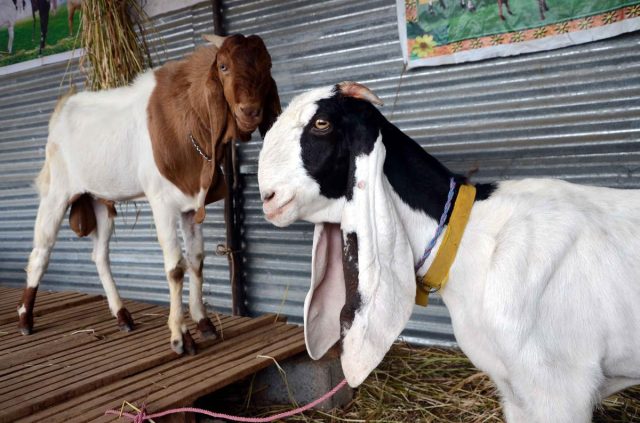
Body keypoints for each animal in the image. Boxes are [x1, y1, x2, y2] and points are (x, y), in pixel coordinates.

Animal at [18, 34, 280, 354]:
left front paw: (203, 323)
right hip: (56, 192)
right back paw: (25, 320)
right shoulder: (162, 204)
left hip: (100, 200)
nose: (250, 111)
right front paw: (180, 337)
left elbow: (196, 260)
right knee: (40, 252)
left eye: (267, 65)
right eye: (223, 66)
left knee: (99, 255)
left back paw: (122, 315)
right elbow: (175, 268)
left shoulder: (190, 206)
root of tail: (63, 107)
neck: (187, 120)